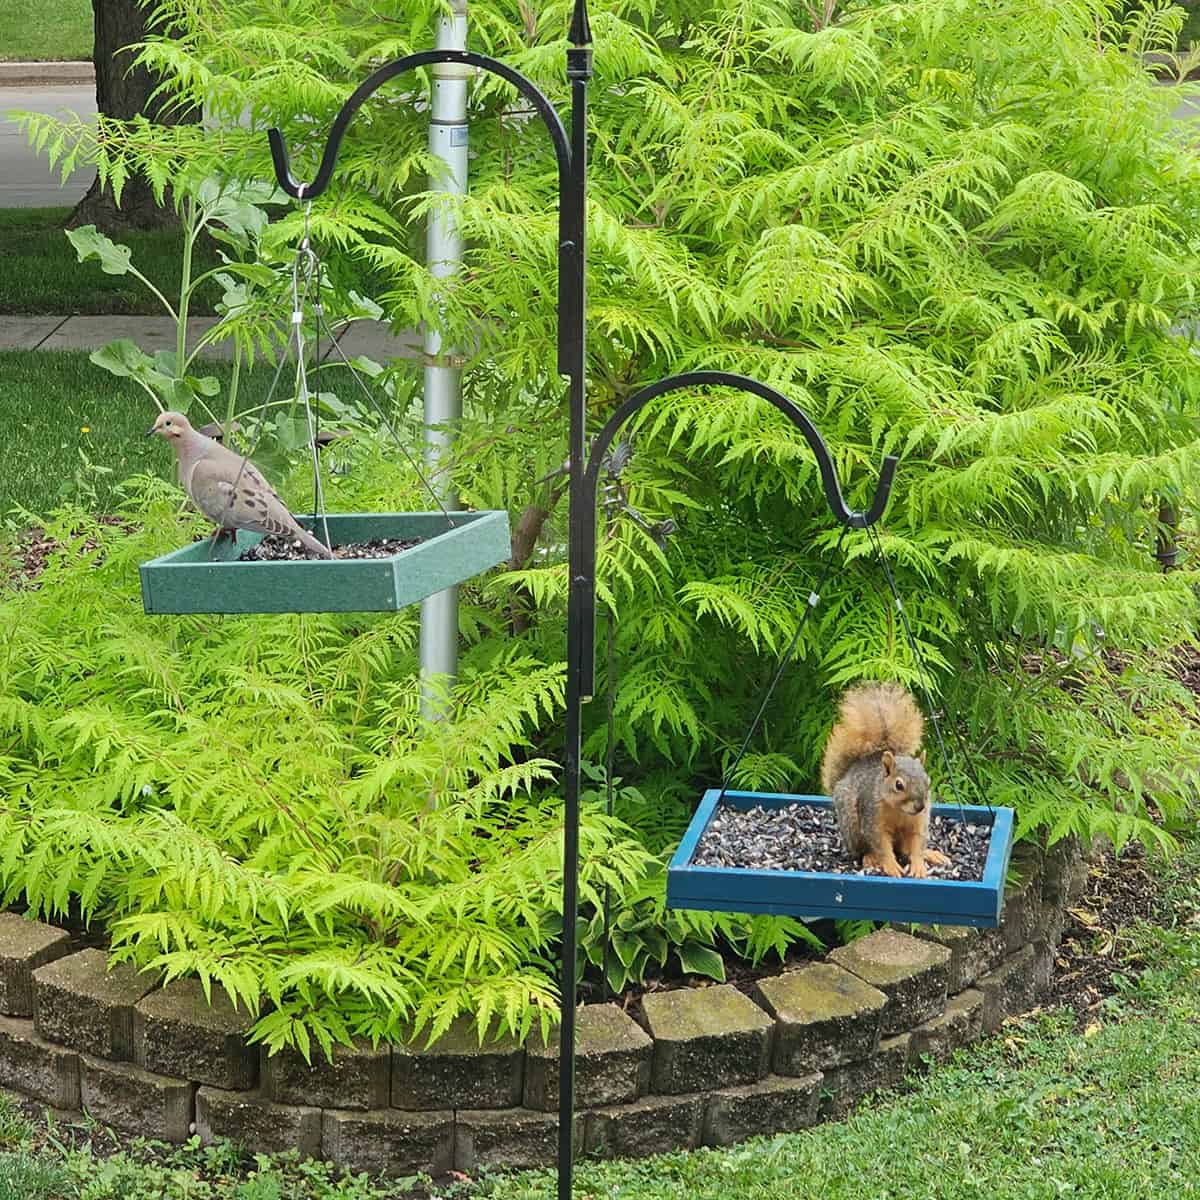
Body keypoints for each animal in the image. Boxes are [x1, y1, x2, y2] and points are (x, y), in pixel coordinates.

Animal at [820, 681, 950, 879]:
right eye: (898, 785)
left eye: (928, 781)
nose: (920, 806)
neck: (899, 810)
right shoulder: (872, 817)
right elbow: (881, 844)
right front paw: (890, 865)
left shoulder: (918, 822)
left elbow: (917, 843)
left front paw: (919, 864)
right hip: (851, 824)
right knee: (862, 850)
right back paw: (870, 858)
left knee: (905, 849)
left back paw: (931, 854)